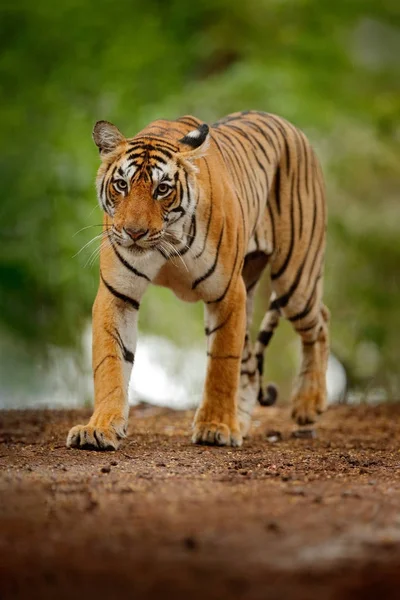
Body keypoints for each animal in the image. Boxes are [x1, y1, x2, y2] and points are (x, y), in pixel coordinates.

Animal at [66, 111, 328, 450]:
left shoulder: (227, 293)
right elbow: (110, 362)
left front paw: (216, 427)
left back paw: (308, 403)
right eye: (121, 185)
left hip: (295, 278)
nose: (134, 233)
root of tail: (290, 126)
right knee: (250, 365)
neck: (166, 240)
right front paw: (99, 427)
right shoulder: (117, 294)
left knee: (320, 322)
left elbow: (222, 363)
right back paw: (242, 422)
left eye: (162, 189)